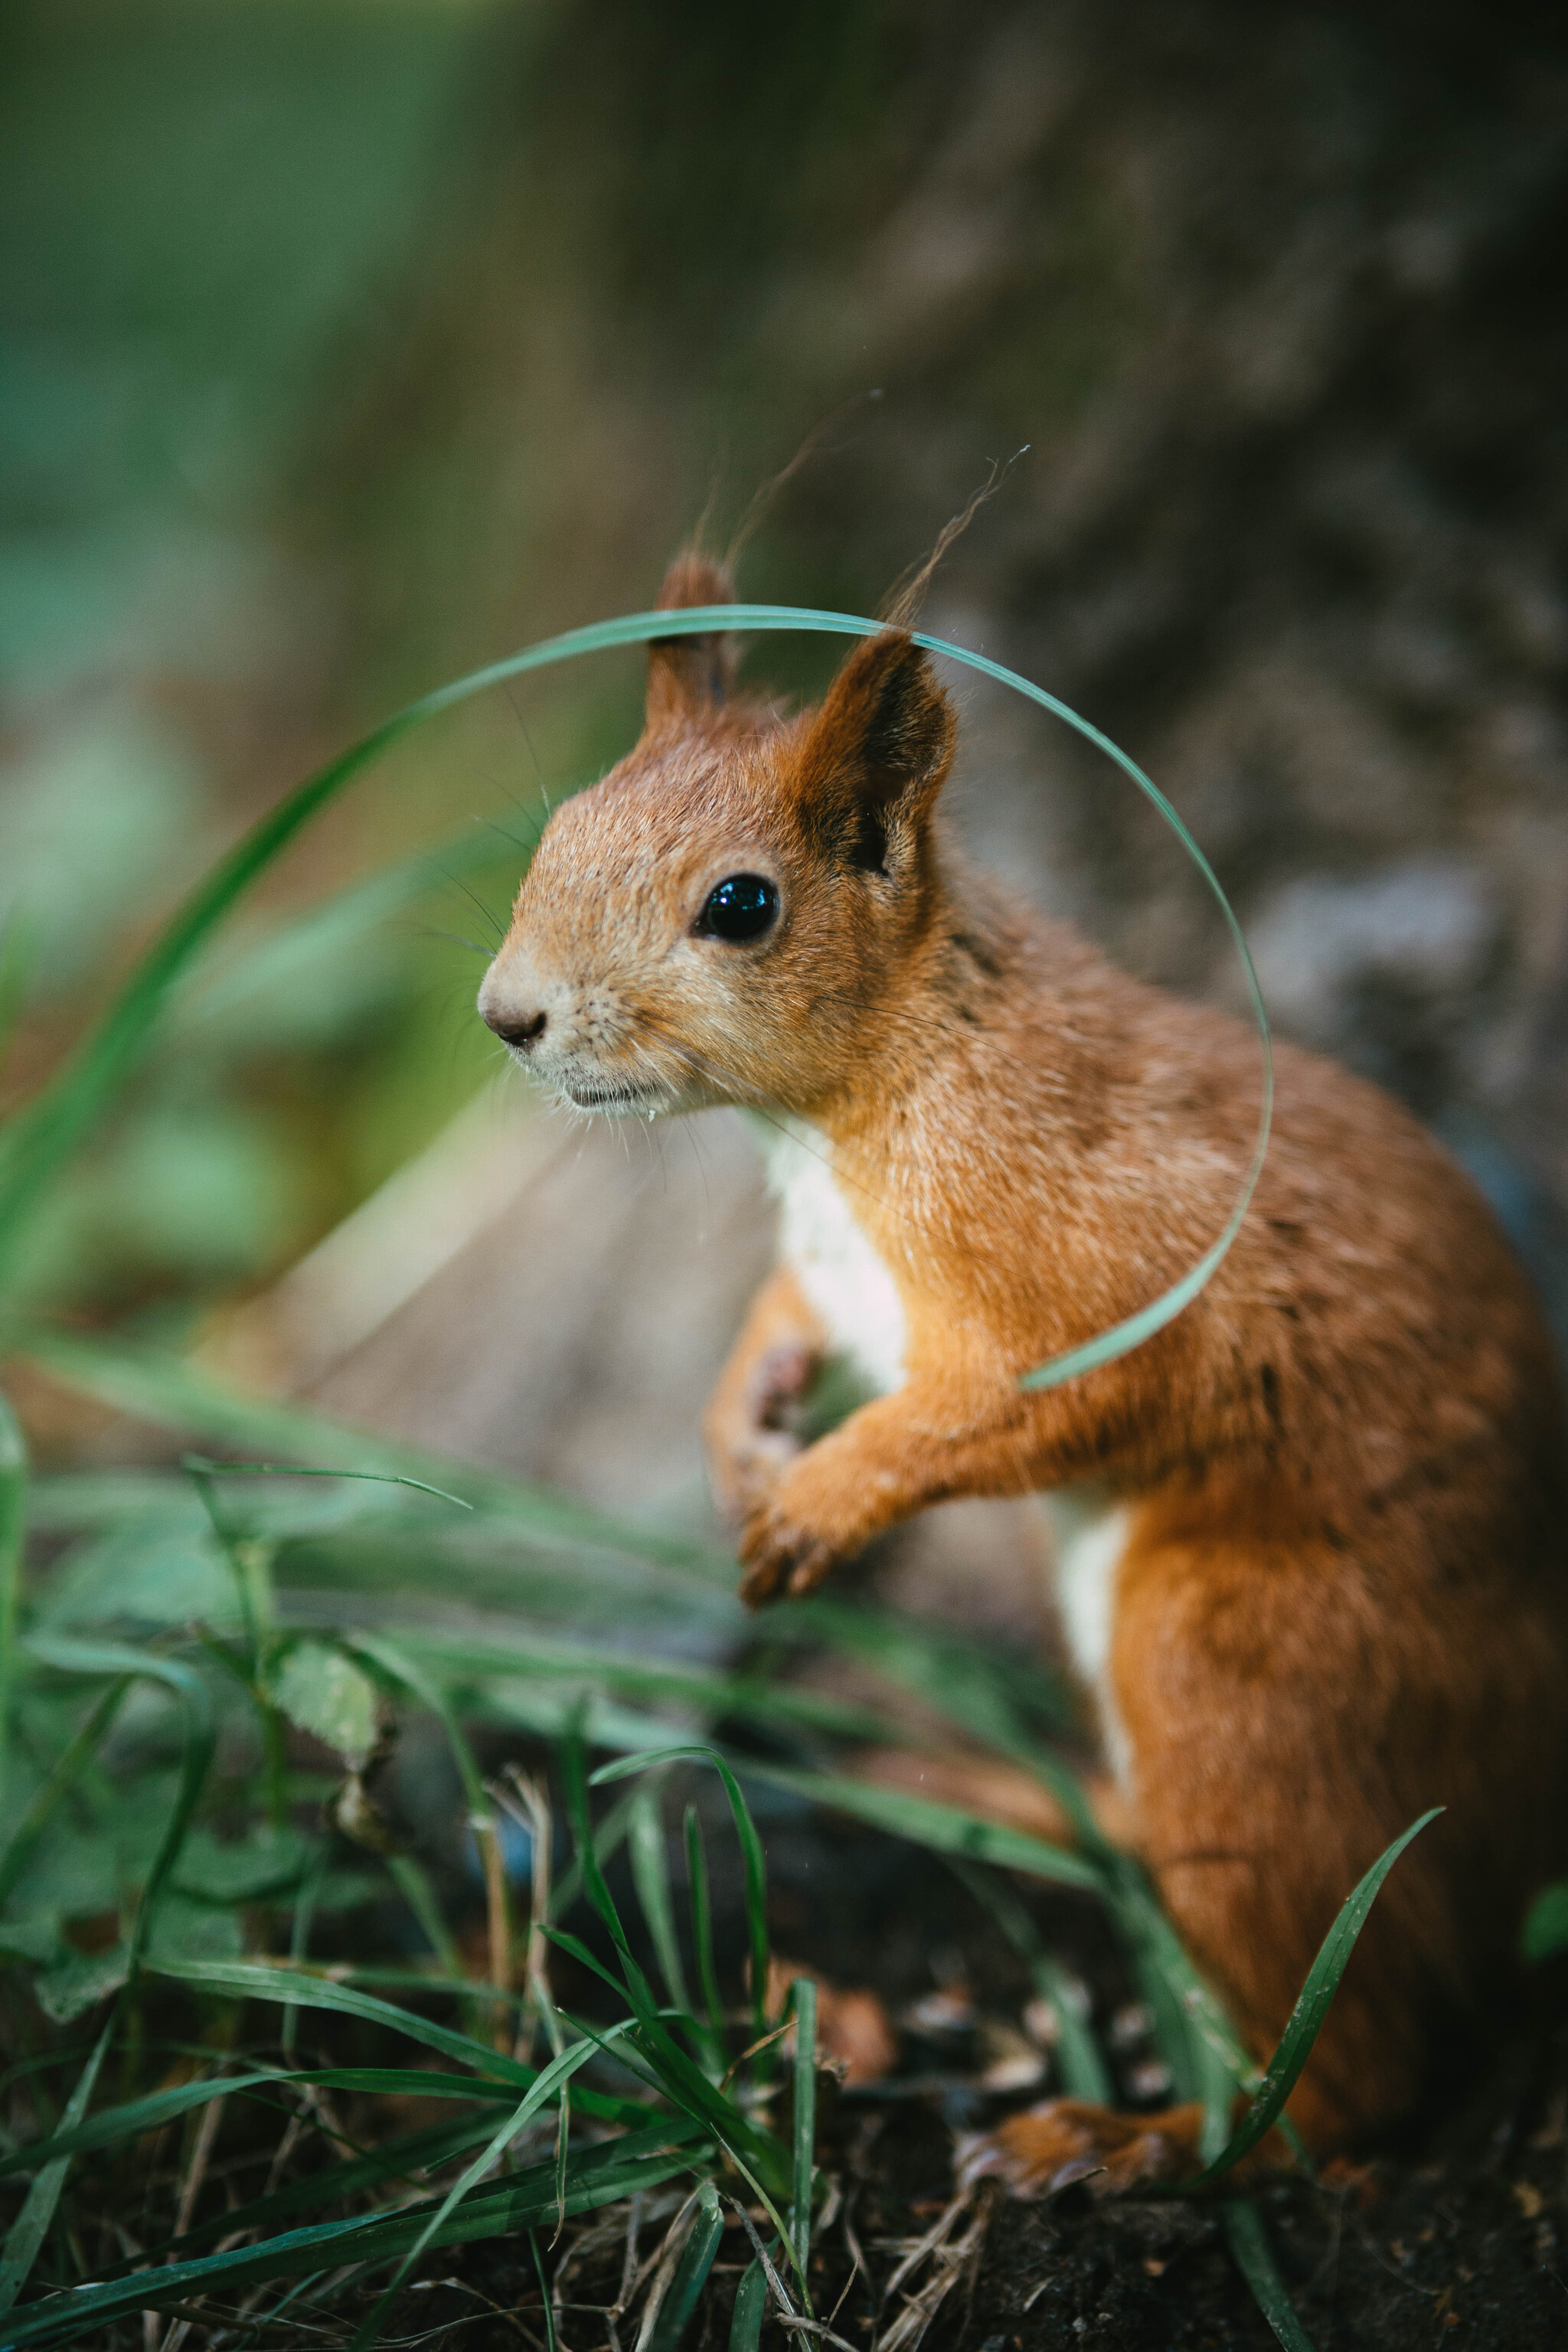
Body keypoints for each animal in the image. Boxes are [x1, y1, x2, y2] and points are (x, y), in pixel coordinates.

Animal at [482, 545, 1568, 2182]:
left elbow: (1033, 1406)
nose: (507, 1015)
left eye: (739, 904)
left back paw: (1139, 2136)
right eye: (558, 830)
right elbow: (785, 1317)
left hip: (1244, 1682)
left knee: (1357, 2070)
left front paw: (816, 1502)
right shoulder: (832, 1273)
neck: (855, 1097)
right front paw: (741, 1429)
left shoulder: (1100, 1271)